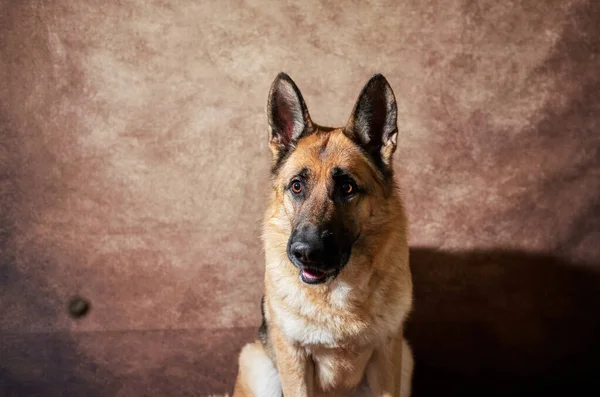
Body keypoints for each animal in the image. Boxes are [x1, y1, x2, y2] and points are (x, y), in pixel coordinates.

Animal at [233, 72, 412, 394]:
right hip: (258, 365)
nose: (305, 252)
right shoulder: (294, 359)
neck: (336, 292)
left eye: (347, 188)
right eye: (296, 186)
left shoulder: (387, 353)